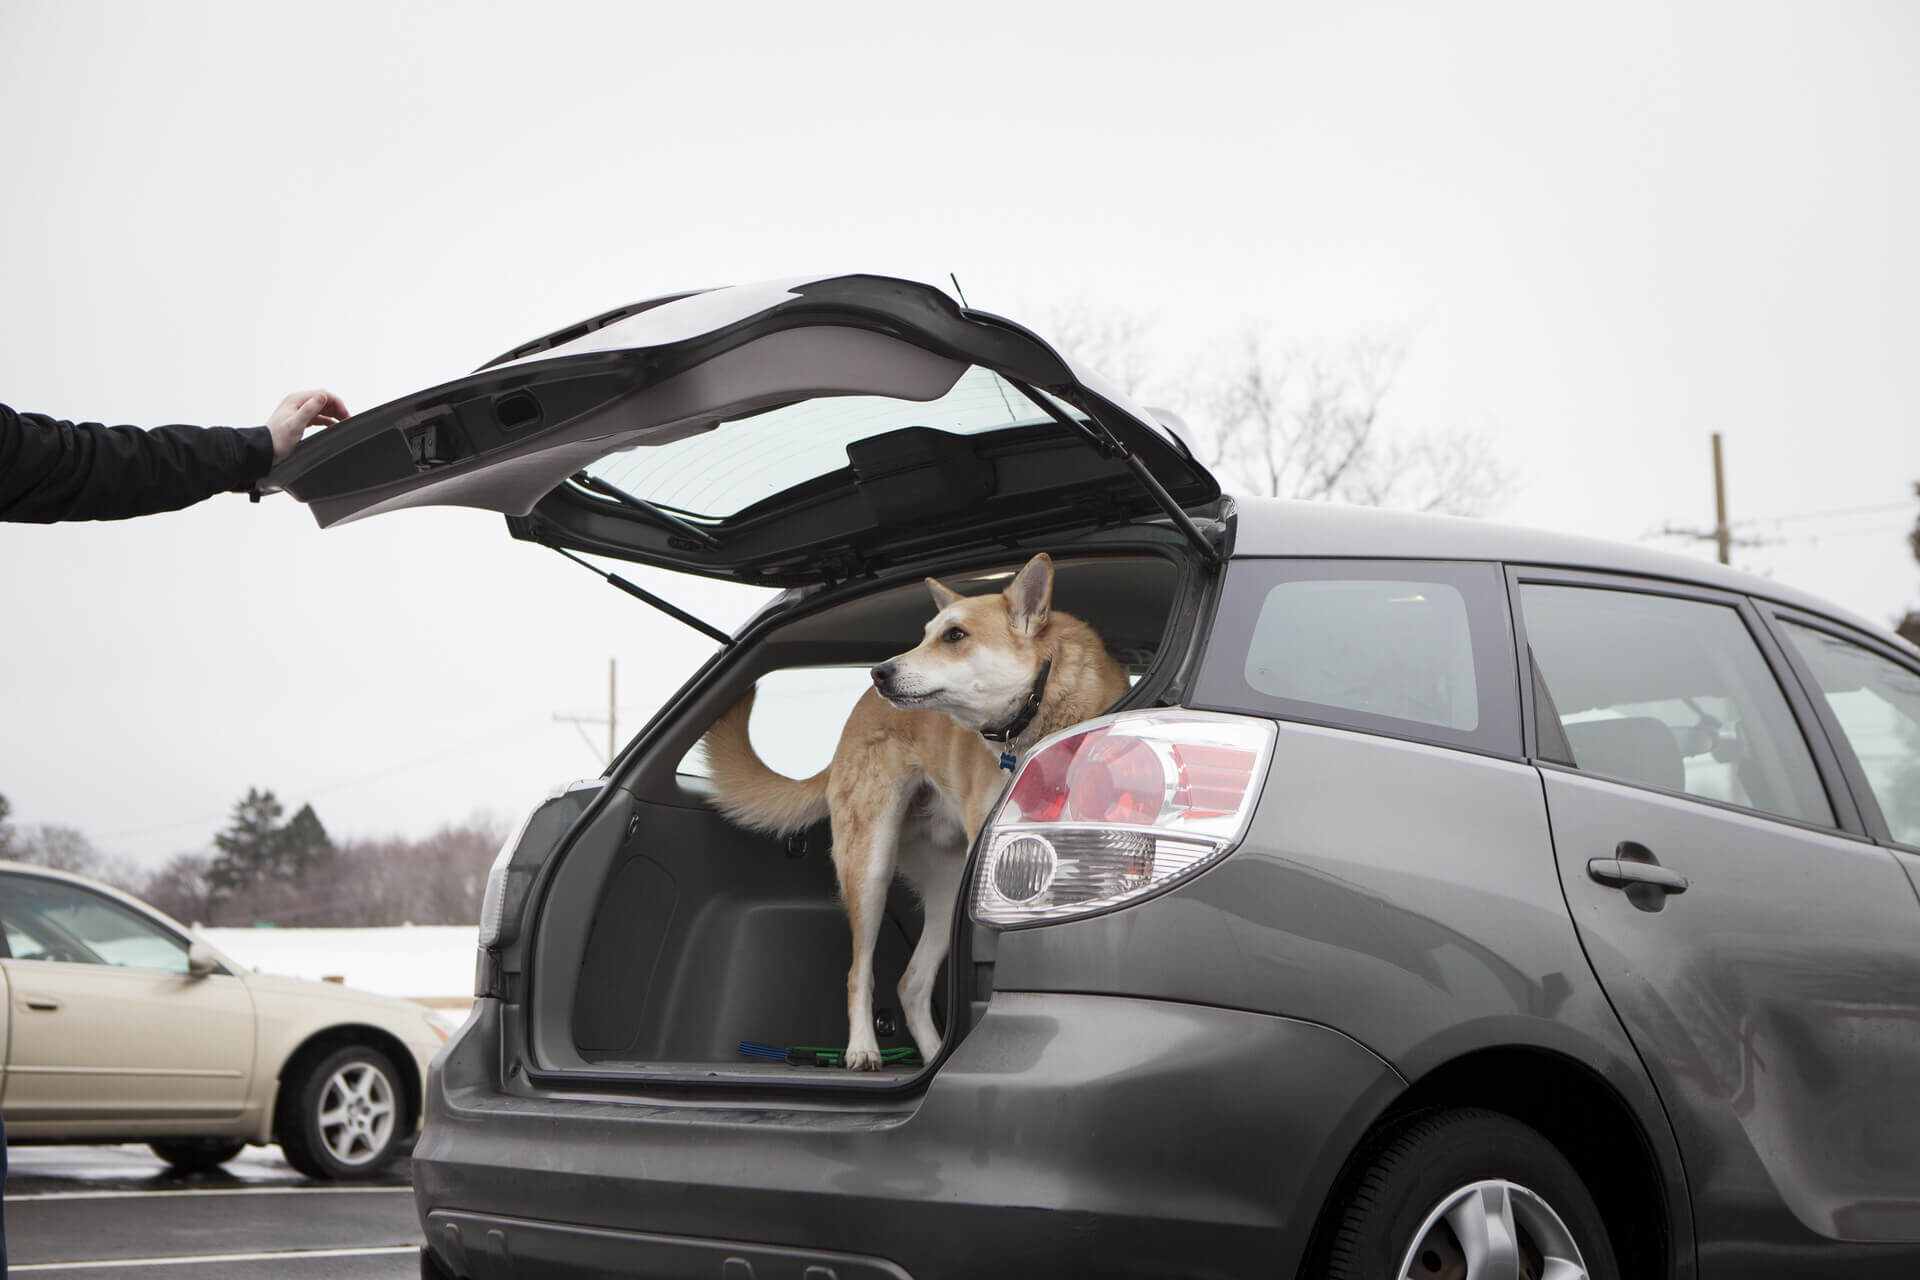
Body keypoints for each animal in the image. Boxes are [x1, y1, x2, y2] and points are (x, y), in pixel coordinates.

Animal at [702, 556, 1121, 1066]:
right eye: (925, 635)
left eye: (955, 635)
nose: (879, 672)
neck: (1035, 711)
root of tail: (851, 722)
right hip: (870, 867)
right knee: (859, 972)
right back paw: (863, 1049)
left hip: (948, 890)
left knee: (912, 984)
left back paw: (937, 1053)